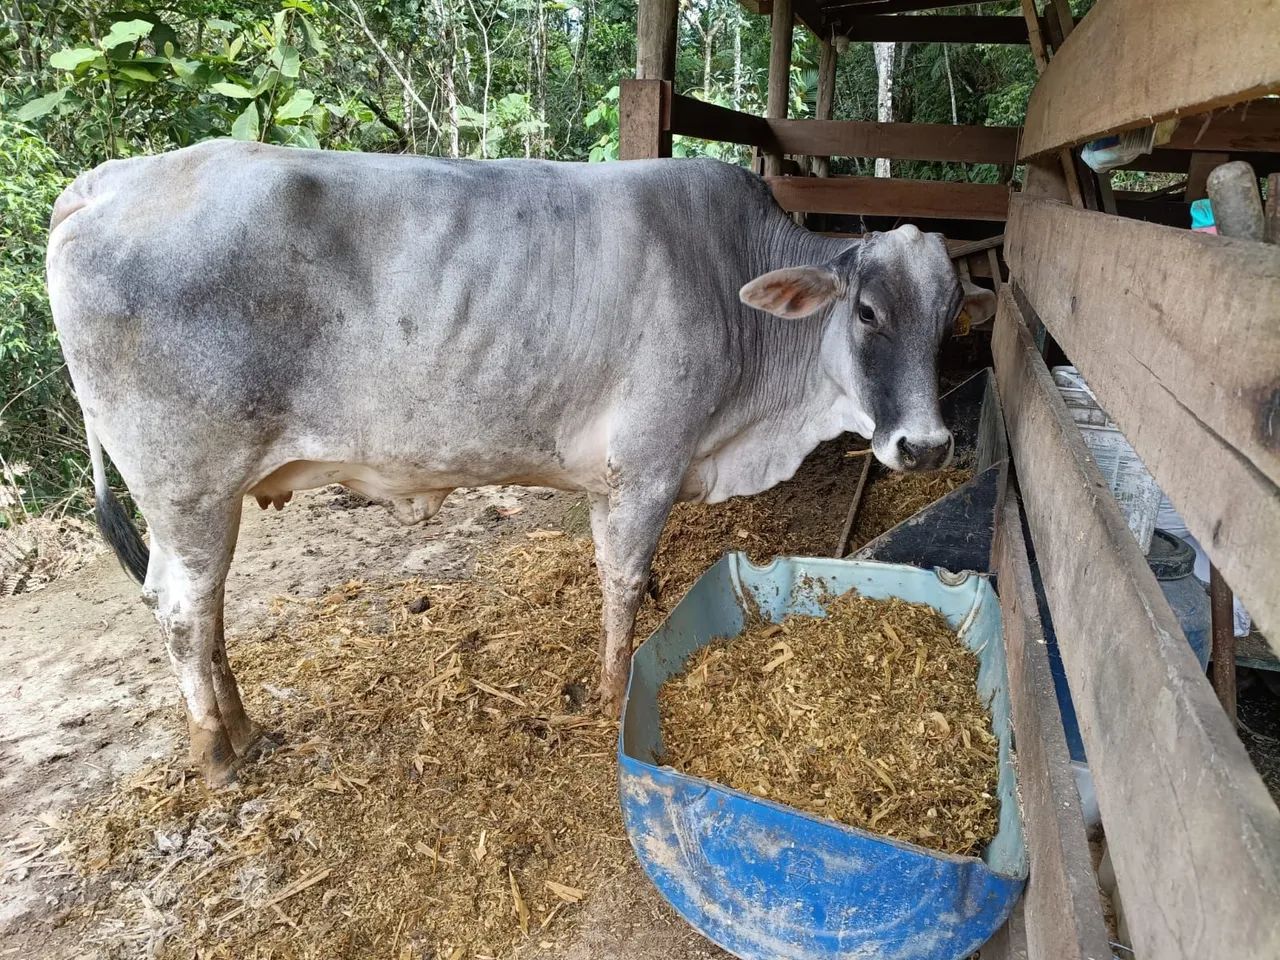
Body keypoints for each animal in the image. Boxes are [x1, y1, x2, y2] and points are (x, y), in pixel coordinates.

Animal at [47, 141, 995, 785]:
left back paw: (242, 726)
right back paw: (218, 752)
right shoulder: (647, 465)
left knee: (203, 614)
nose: (925, 445)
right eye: (867, 312)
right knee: (181, 607)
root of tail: (104, 183)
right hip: (188, 488)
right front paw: (609, 692)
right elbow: (623, 582)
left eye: (951, 315)